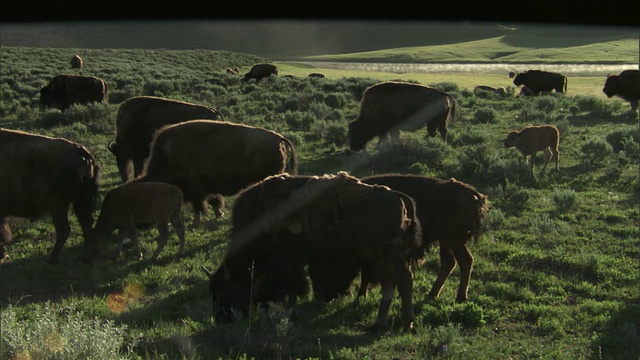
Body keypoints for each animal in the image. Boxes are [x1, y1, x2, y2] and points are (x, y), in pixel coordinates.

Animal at [0, 128, 99, 262]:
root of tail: (79, 149)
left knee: (64, 228)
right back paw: (86, 257)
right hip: (80, 201)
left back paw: (52, 260)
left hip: (59, 204)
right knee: (85, 223)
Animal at [134, 121, 298, 228]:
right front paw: (219, 214)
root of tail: (278, 137)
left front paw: (195, 224)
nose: (141, 226)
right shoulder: (205, 190)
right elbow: (212, 201)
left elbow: (199, 207)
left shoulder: (197, 191)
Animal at [208, 173, 422, 330]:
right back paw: (391, 322)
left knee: (398, 281)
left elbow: (293, 288)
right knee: (397, 281)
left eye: (225, 289)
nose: (222, 318)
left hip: (381, 255)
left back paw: (400, 323)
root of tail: (396, 196)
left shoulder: (290, 262)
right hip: (385, 255)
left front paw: (292, 314)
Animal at [360, 174, 490, 304]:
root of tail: (470, 193)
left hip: (453, 240)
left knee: (465, 260)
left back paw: (460, 297)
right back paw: (433, 294)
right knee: (449, 262)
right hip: (446, 241)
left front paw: (362, 295)